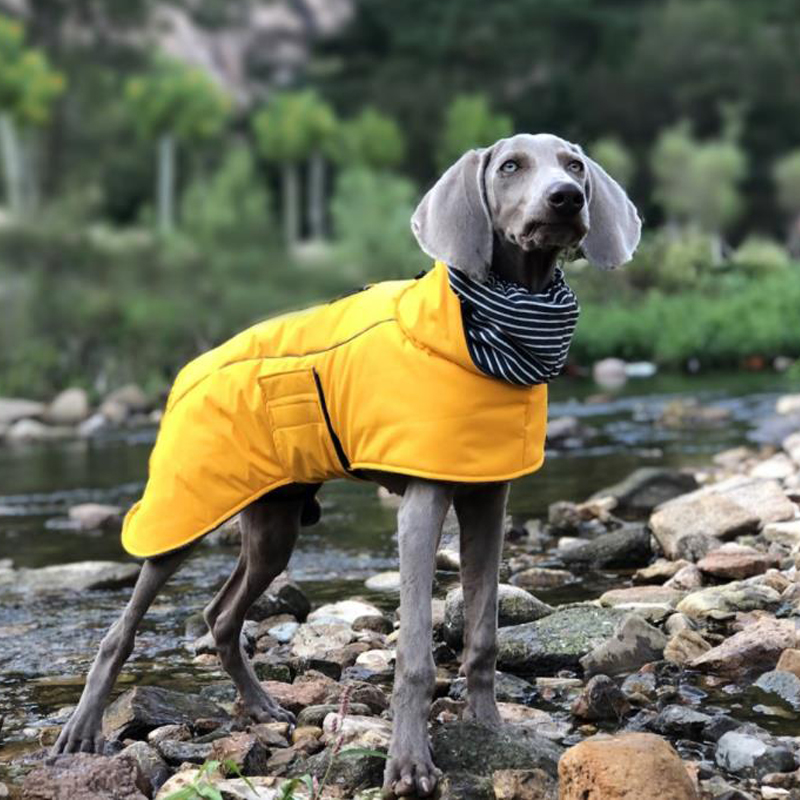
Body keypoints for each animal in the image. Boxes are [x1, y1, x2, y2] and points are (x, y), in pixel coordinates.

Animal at [53, 134, 640, 796]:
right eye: (511, 166)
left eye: (574, 165)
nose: (565, 198)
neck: (490, 327)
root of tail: (185, 372)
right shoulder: (423, 502)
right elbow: (414, 655)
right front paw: (409, 763)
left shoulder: (488, 497)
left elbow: (485, 633)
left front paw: (489, 729)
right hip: (184, 509)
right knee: (122, 627)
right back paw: (82, 728)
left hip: (274, 523)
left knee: (220, 614)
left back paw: (261, 705)